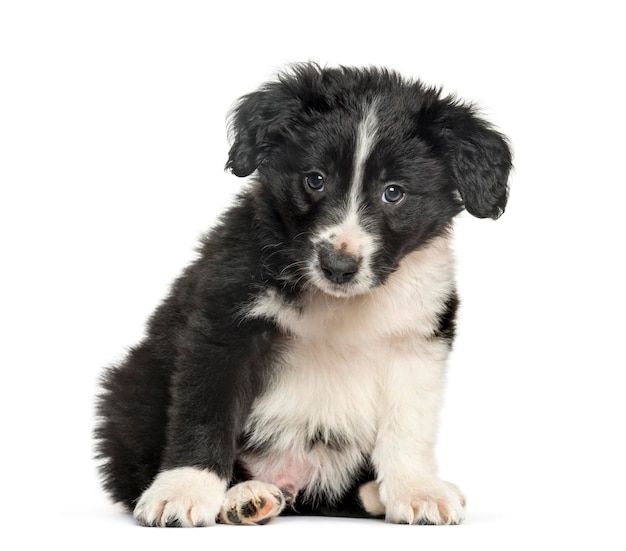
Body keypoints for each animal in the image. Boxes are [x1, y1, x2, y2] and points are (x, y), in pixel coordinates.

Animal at [95, 62, 510, 528]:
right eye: (316, 180)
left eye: (394, 192)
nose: (339, 266)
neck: (340, 303)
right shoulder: (224, 321)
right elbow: (205, 408)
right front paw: (184, 489)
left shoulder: (417, 339)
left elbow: (408, 426)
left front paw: (414, 490)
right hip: (132, 385)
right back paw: (243, 495)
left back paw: (373, 494)